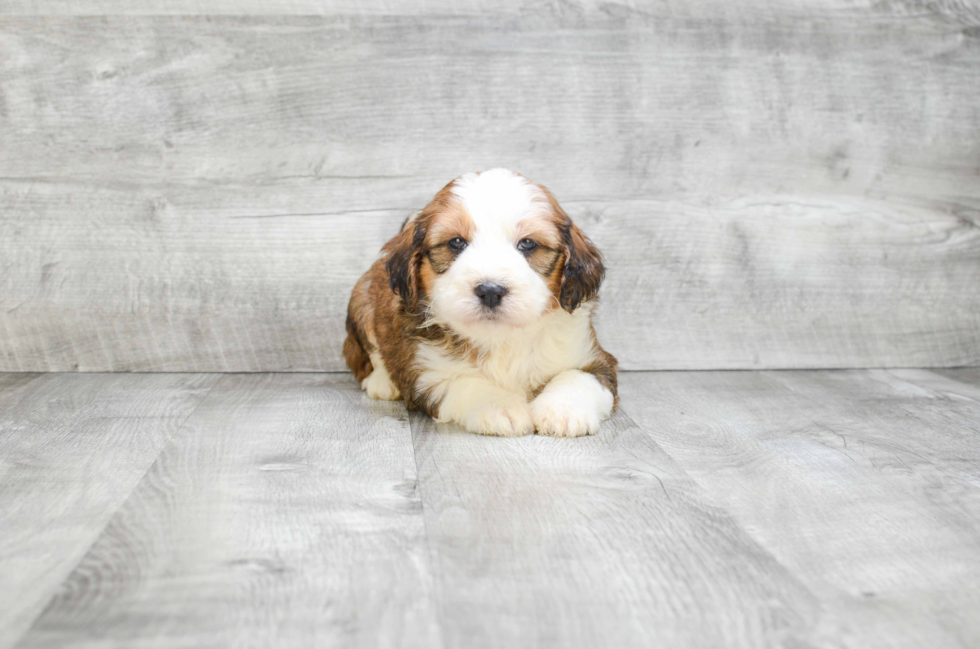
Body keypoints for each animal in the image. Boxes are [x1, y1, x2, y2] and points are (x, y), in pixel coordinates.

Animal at [344, 167, 616, 436]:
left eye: (528, 243)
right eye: (456, 242)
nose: (491, 291)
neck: (501, 338)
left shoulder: (592, 356)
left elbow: (578, 377)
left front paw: (563, 410)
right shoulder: (426, 374)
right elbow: (466, 383)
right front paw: (500, 407)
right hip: (361, 303)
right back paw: (382, 383)